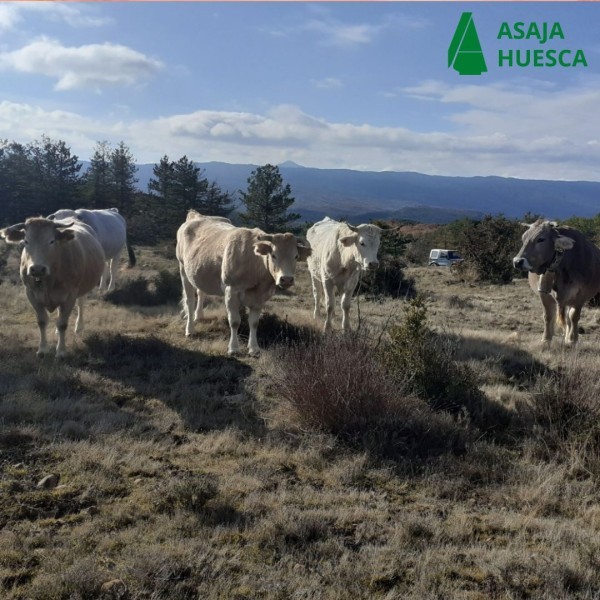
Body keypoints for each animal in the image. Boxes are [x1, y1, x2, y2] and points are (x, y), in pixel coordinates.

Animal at [0, 216, 105, 356]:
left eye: (51, 241)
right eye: (26, 241)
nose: (37, 269)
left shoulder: (70, 295)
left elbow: (62, 324)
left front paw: (61, 351)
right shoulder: (31, 293)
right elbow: (42, 321)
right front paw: (42, 349)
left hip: (82, 287)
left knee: (81, 304)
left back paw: (79, 327)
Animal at [176, 212, 312, 356]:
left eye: (296, 256)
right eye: (273, 255)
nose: (286, 279)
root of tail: (197, 215)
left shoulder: (260, 297)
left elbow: (254, 322)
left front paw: (254, 348)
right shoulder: (231, 291)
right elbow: (235, 321)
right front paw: (233, 348)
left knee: (200, 292)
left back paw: (199, 316)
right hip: (183, 269)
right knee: (190, 301)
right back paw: (190, 329)